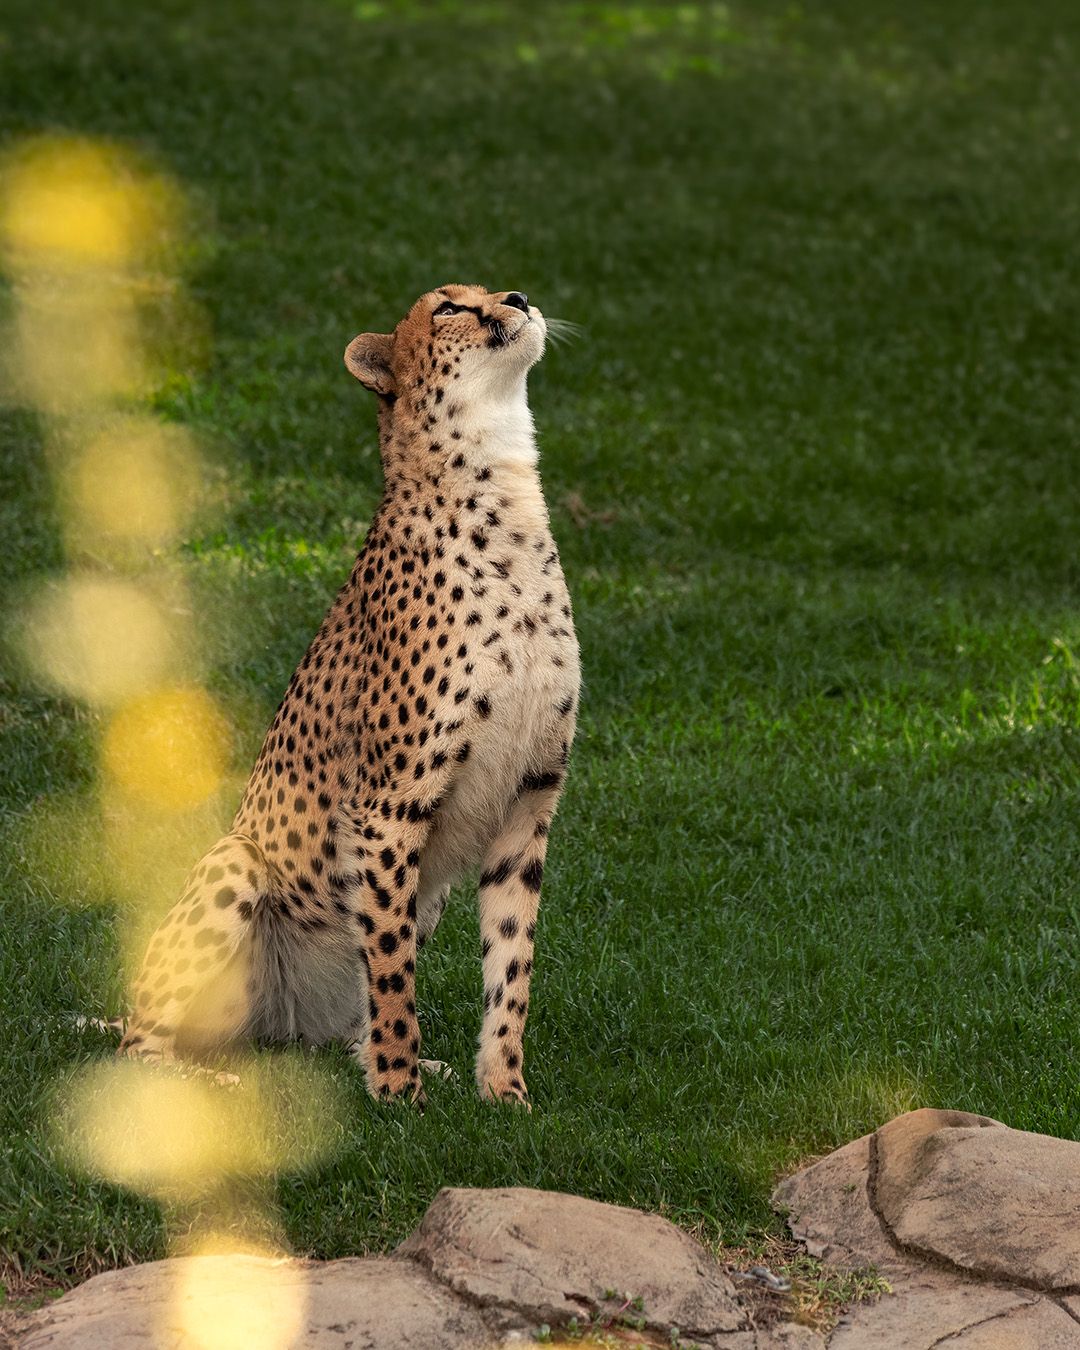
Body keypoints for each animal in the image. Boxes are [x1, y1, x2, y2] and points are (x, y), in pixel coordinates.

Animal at [118, 285, 580, 1107]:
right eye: (450, 306)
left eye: (497, 289)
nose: (519, 299)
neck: (500, 487)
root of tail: (281, 1029)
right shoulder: (387, 808)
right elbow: (392, 967)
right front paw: (400, 1095)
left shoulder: (530, 798)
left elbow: (512, 964)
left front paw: (503, 1090)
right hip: (236, 865)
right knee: (139, 1044)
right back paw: (212, 1082)